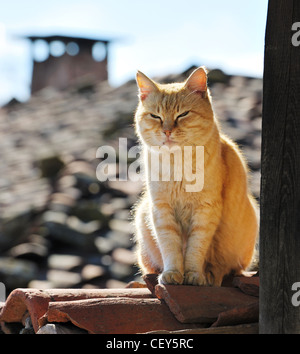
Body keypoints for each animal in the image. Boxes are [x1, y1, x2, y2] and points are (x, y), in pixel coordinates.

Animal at [134, 66, 258, 286]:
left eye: (182, 114)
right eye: (155, 116)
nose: (167, 131)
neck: (177, 164)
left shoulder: (206, 210)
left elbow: (196, 248)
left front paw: (194, 275)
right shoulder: (161, 209)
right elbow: (170, 246)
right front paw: (172, 273)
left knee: (227, 269)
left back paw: (211, 275)